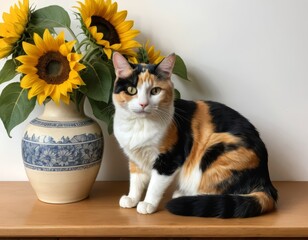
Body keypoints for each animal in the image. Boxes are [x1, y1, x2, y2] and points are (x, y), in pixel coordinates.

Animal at [112, 52, 278, 218]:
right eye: (131, 90)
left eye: (155, 91)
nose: (143, 104)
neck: (139, 125)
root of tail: (265, 180)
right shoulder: (135, 158)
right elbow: (136, 181)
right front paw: (132, 198)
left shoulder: (169, 159)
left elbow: (155, 185)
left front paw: (148, 204)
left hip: (216, 150)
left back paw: (183, 195)